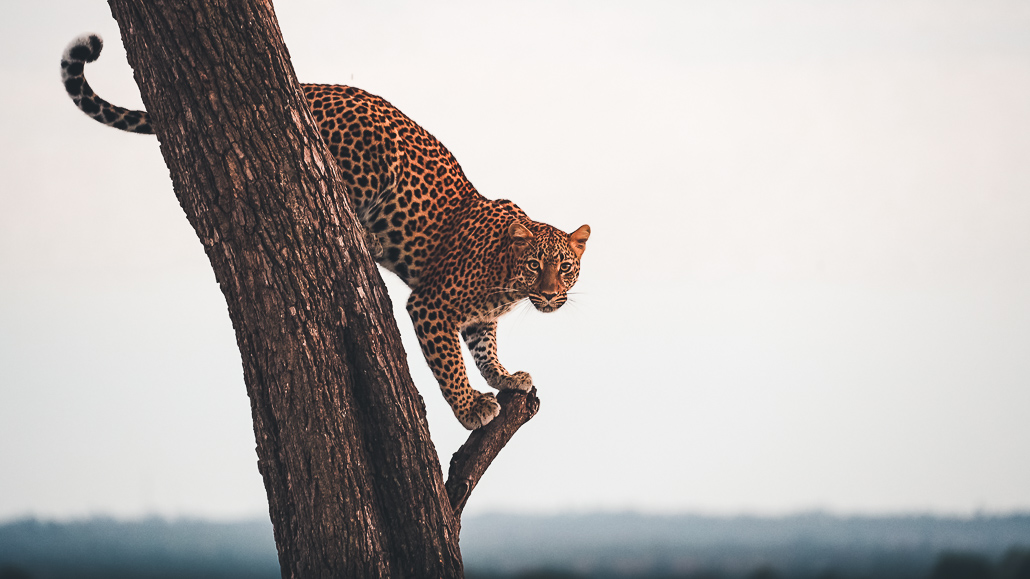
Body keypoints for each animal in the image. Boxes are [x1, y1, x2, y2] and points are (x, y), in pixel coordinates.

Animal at [61, 34, 590, 430]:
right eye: (534, 265)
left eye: (565, 267)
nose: (552, 293)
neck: (507, 281)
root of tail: (308, 87)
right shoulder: (432, 304)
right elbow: (450, 364)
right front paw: (471, 406)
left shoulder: (479, 318)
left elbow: (484, 350)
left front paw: (505, 378)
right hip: (372, 155)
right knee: (338, 191)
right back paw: (368, 235)